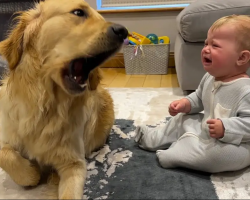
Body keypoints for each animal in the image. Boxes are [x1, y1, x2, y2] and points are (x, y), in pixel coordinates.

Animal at [0, 0, 127, 198]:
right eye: (79, 12)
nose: (123, 32)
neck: (45, 106)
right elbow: (5, 154)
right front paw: (31, 174)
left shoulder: (74, 163)